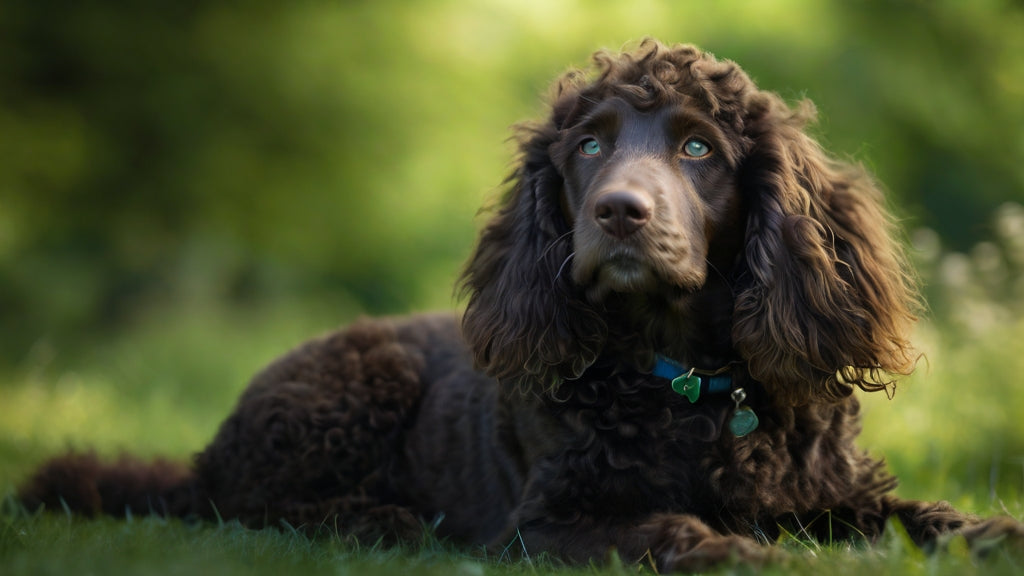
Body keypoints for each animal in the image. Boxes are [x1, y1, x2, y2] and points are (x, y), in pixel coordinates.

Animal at [18, 41, 1024, 569]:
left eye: (700, 149)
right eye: (588, 147)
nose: (619, 213)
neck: (689, 385)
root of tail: (208, 448)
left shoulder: (837, 493)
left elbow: (923, 515)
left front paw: (994, 531)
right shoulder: (547, 524)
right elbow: (670, 527)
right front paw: (750, 551)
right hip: (353, 388)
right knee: (252, 508)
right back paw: (384, 522)